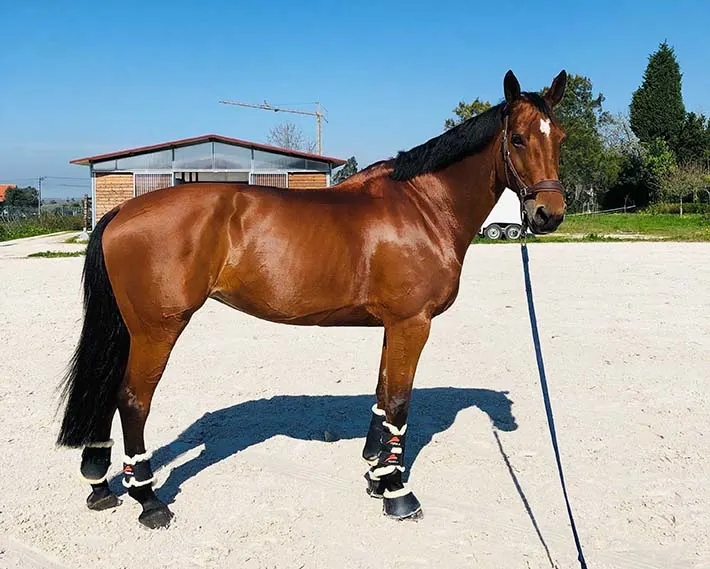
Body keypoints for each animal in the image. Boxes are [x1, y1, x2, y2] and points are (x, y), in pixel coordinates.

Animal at [55, 70, 572, 528]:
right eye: (518, 139)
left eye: (561, 138)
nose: (548, 215)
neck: (422, 207)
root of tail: (122, 210)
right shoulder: (413, 323)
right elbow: (400, 402)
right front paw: (398, 493)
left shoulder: (394, 326)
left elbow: (383, 397)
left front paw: (377, 475)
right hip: (157, 329)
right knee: (132, 400)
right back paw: (148, 499)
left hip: (131, 329)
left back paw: (100, 485)